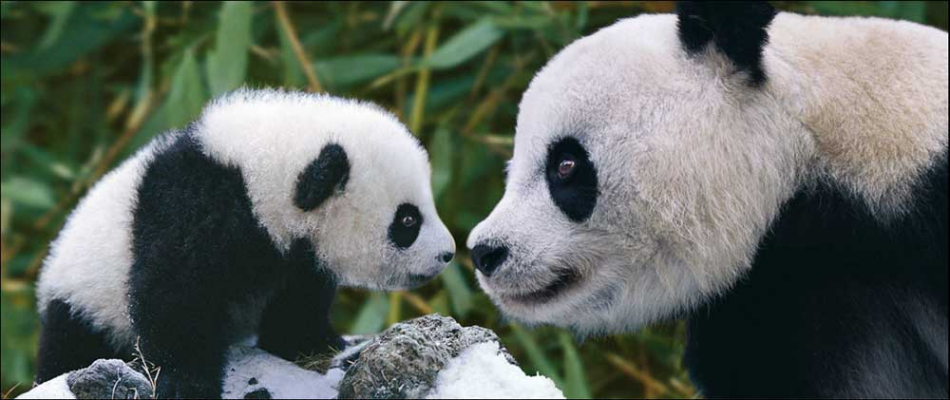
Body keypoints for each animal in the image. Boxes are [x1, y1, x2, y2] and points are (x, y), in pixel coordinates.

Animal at [35, 88, 456, 398]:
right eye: (408, 220)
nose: (447, 254)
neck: (258, 173)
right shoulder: (195, 207)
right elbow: (174, 295)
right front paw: (188, 383)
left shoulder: (296, 255)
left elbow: (297, 304)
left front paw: (318, 345)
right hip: (86, 303)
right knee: (71, 346)